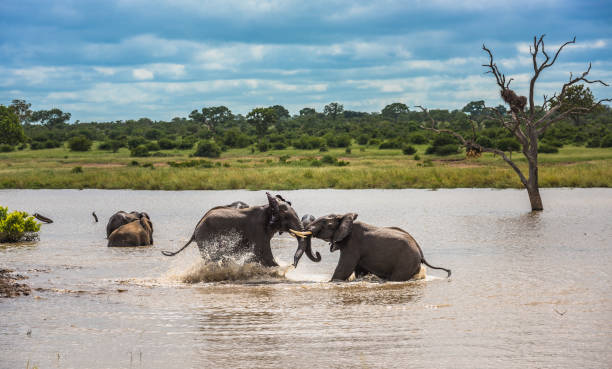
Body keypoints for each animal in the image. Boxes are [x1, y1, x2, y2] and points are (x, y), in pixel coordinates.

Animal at [160, 193, 322, 268]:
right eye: (287, 217)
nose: (292, 265)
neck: (267, 207)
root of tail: (195, 229)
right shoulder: (257, 230)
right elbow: (263, 255)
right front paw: (280, 269)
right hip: (206, 237)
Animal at [306, 211, 450, 280]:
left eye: (326, 223)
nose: (318, 253)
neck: (345, 217)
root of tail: (420, 253)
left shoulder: (353, 244)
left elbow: (343, 270)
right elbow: (359, 271)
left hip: (406, 261)